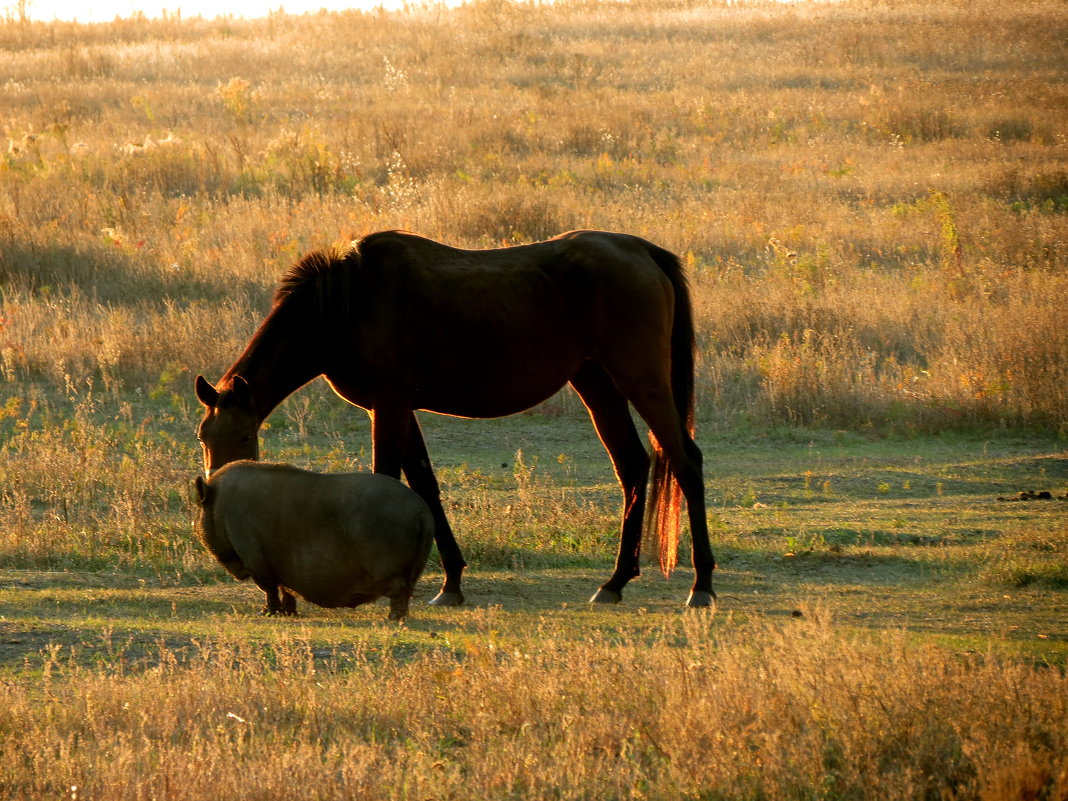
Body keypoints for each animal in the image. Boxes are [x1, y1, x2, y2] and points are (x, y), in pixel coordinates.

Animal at [198, 230, 717, 606]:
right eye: (204, 438)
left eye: (244, 436)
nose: (216, 491)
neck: (348, 303)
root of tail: (641, 250)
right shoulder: (400, 409)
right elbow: (425, 485)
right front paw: (451, 582)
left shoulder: (388, 406)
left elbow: (386, 478)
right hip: (597, 384)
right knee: (632, 466)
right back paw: (616, 581)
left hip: (642, 381)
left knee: (685, 462)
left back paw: (702, 585)